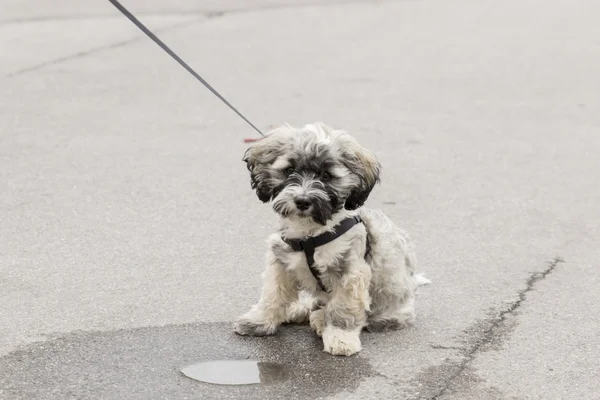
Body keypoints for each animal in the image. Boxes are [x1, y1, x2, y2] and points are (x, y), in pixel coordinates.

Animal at [232, 122, 428, 356]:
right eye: (289, 170)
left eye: (326, 175)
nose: (302, 201)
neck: (310, 235)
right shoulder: (281, 262)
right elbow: (272, 295)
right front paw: (260, 320)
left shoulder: (350, 271)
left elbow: (343, 308)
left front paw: (340, 338)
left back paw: (319, 318)